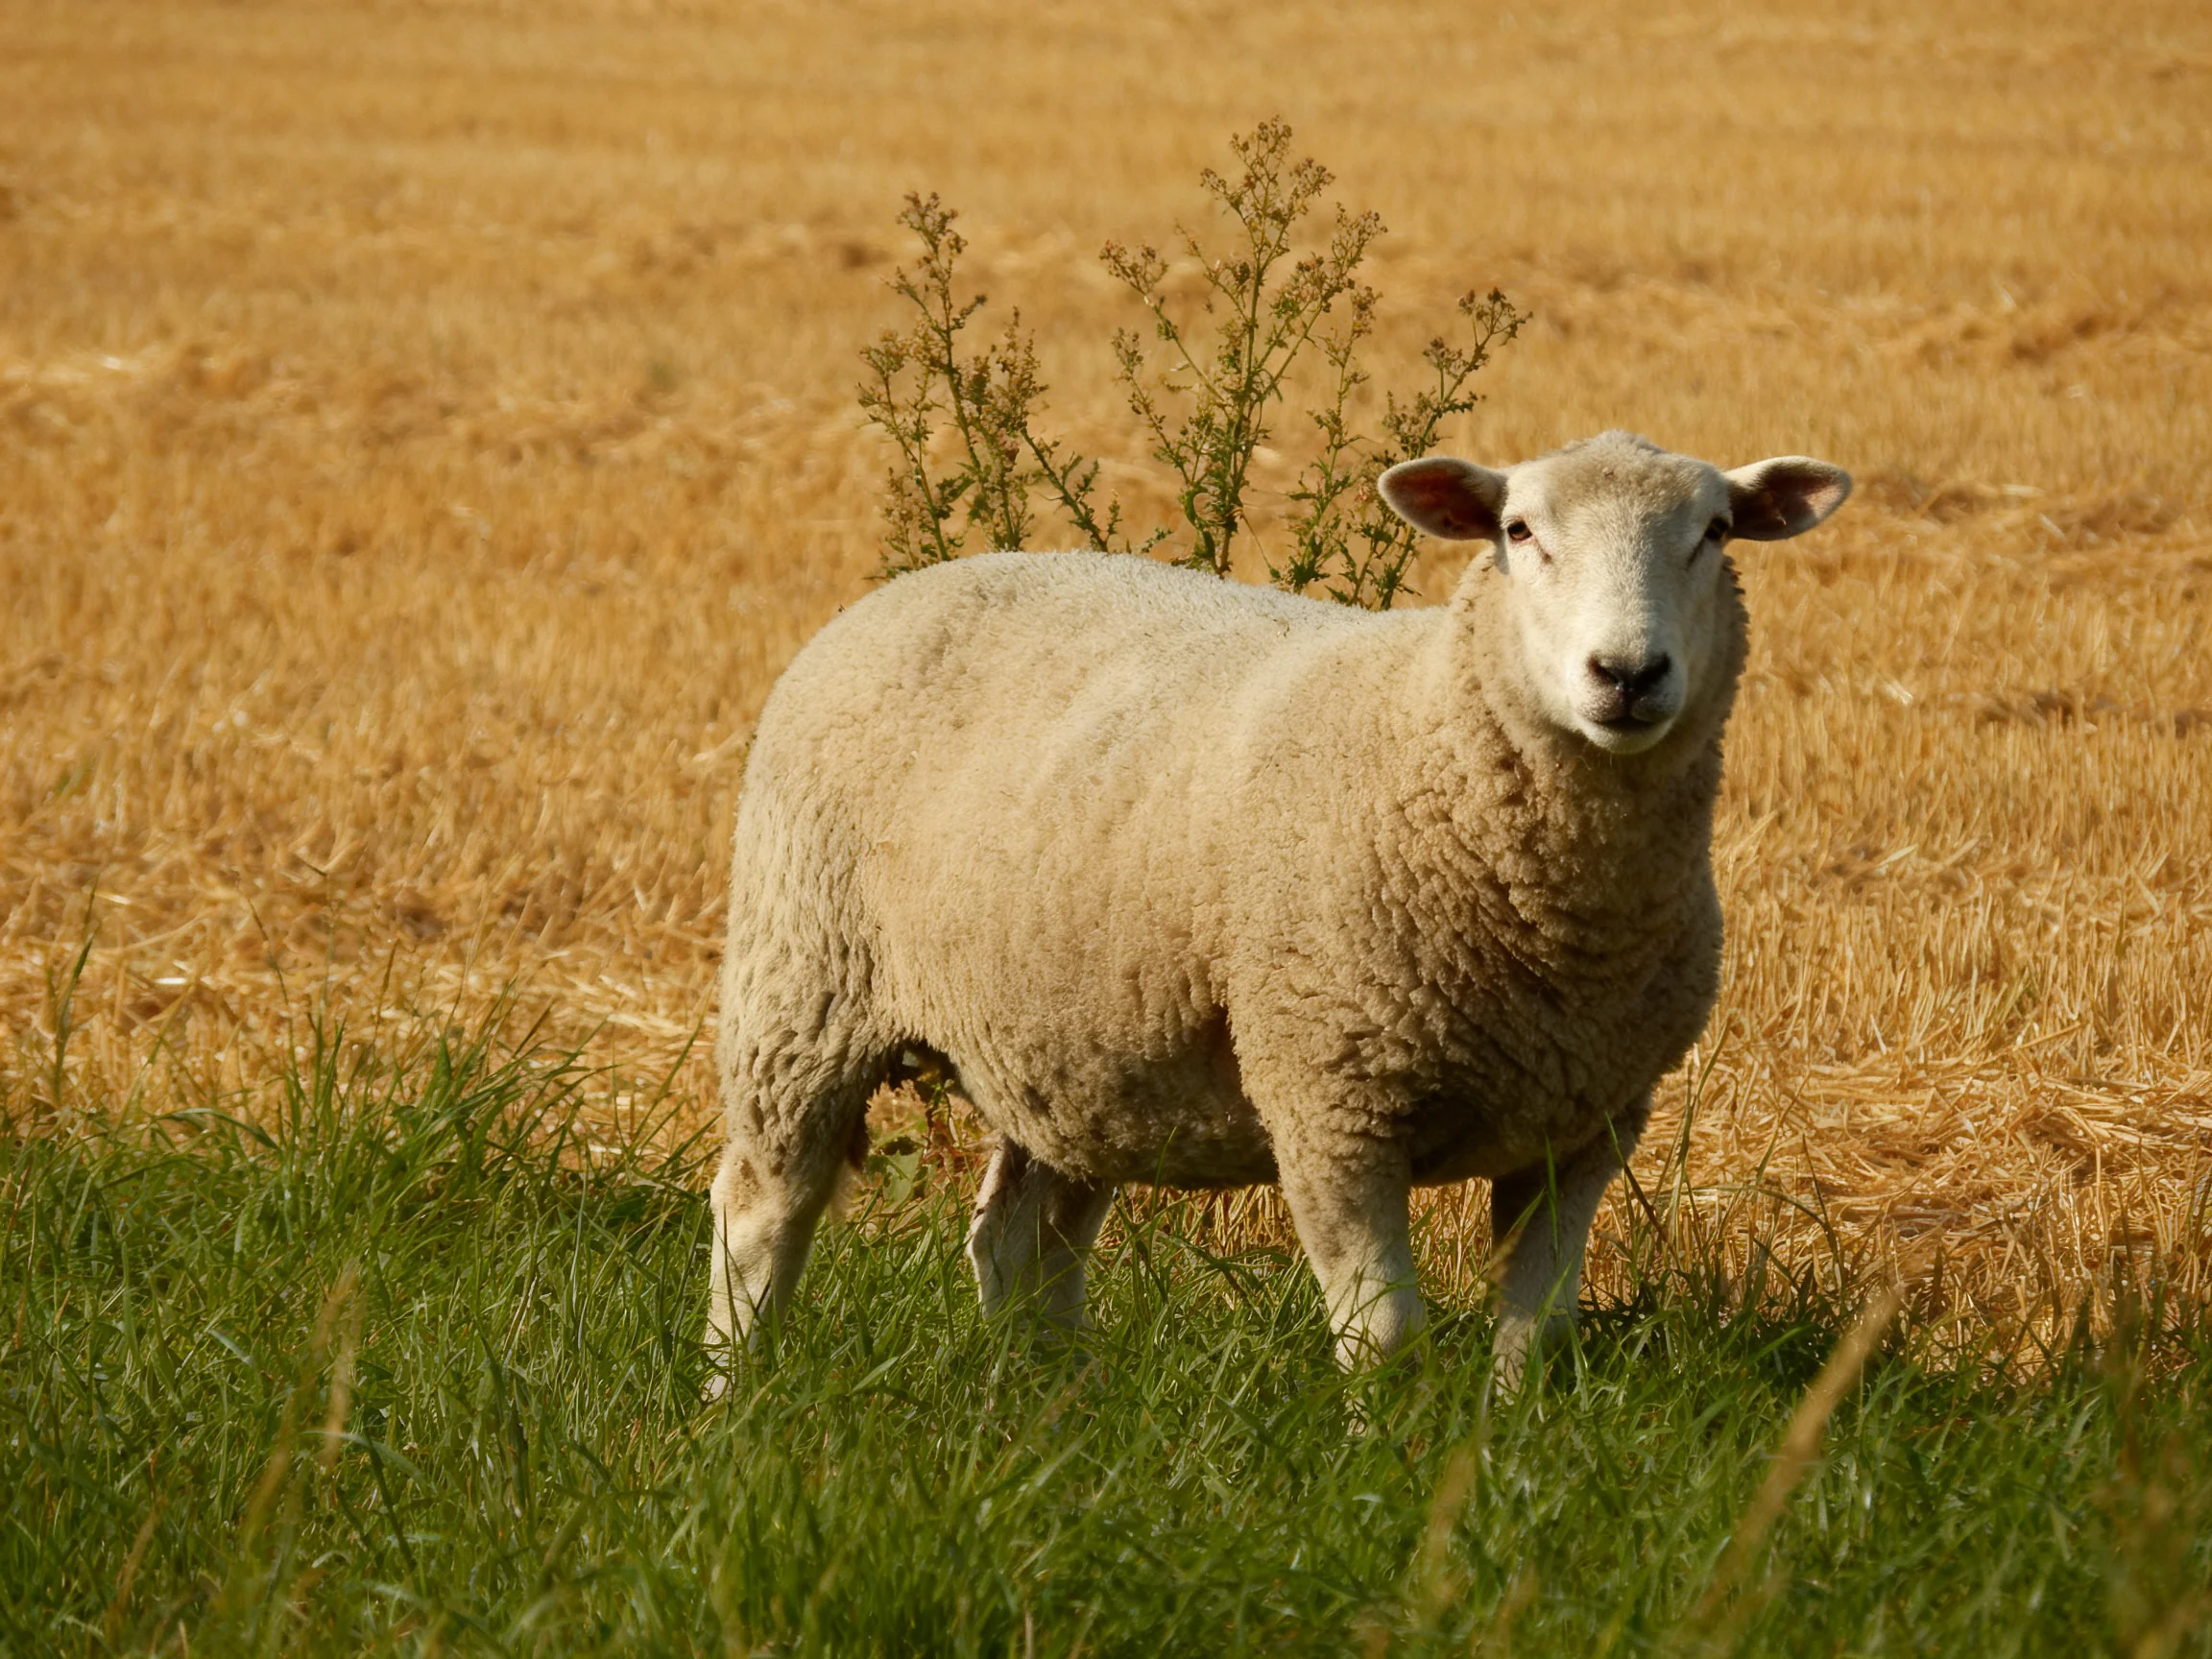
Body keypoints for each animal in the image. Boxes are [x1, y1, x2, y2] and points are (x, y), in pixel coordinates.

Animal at [705, 430, 1850, 1387]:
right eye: (1521, 532)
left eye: (1714, 532)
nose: (1627, 673)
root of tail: (911, 585)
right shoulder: (1331, 1100)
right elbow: (1382, 1335)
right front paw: (1385, 1469)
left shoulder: (1588, 1129)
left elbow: (1535, 1334)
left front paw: (1500, 1456)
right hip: (802, 984)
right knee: (761, 1210)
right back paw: (737, 1399)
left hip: (1072, 1046)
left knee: (1021, 1244)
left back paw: (1056, 1413)